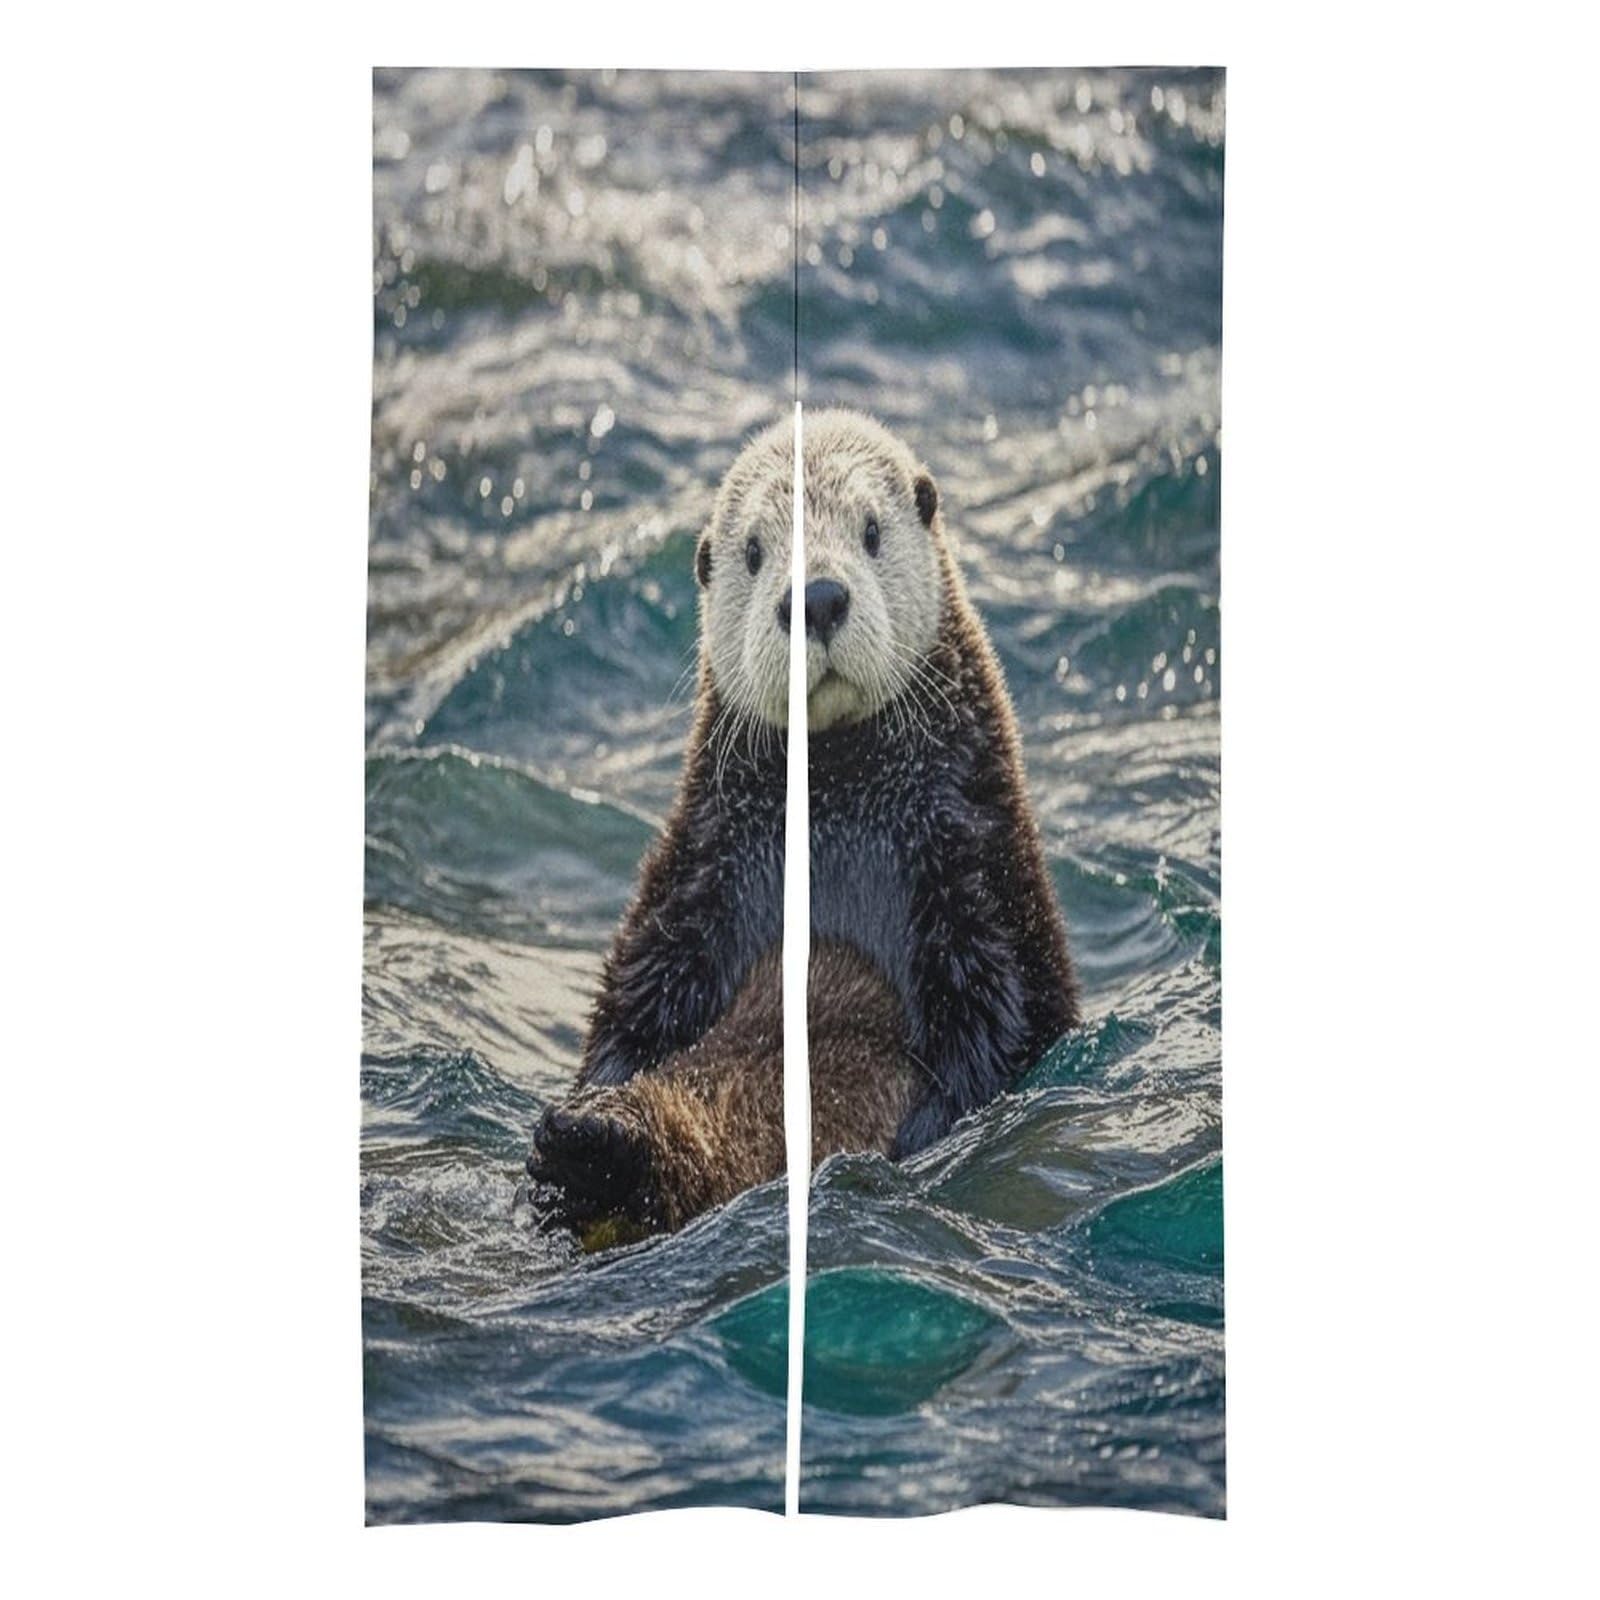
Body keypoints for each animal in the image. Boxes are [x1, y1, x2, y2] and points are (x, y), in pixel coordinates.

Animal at [526, 409, 1078, 1232]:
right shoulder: (696, 875)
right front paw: (580, 1113)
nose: (815, 599)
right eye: (755, 553)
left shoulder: (975, 870)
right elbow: (631, 1008)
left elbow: (992, 1028)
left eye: (872, 531)